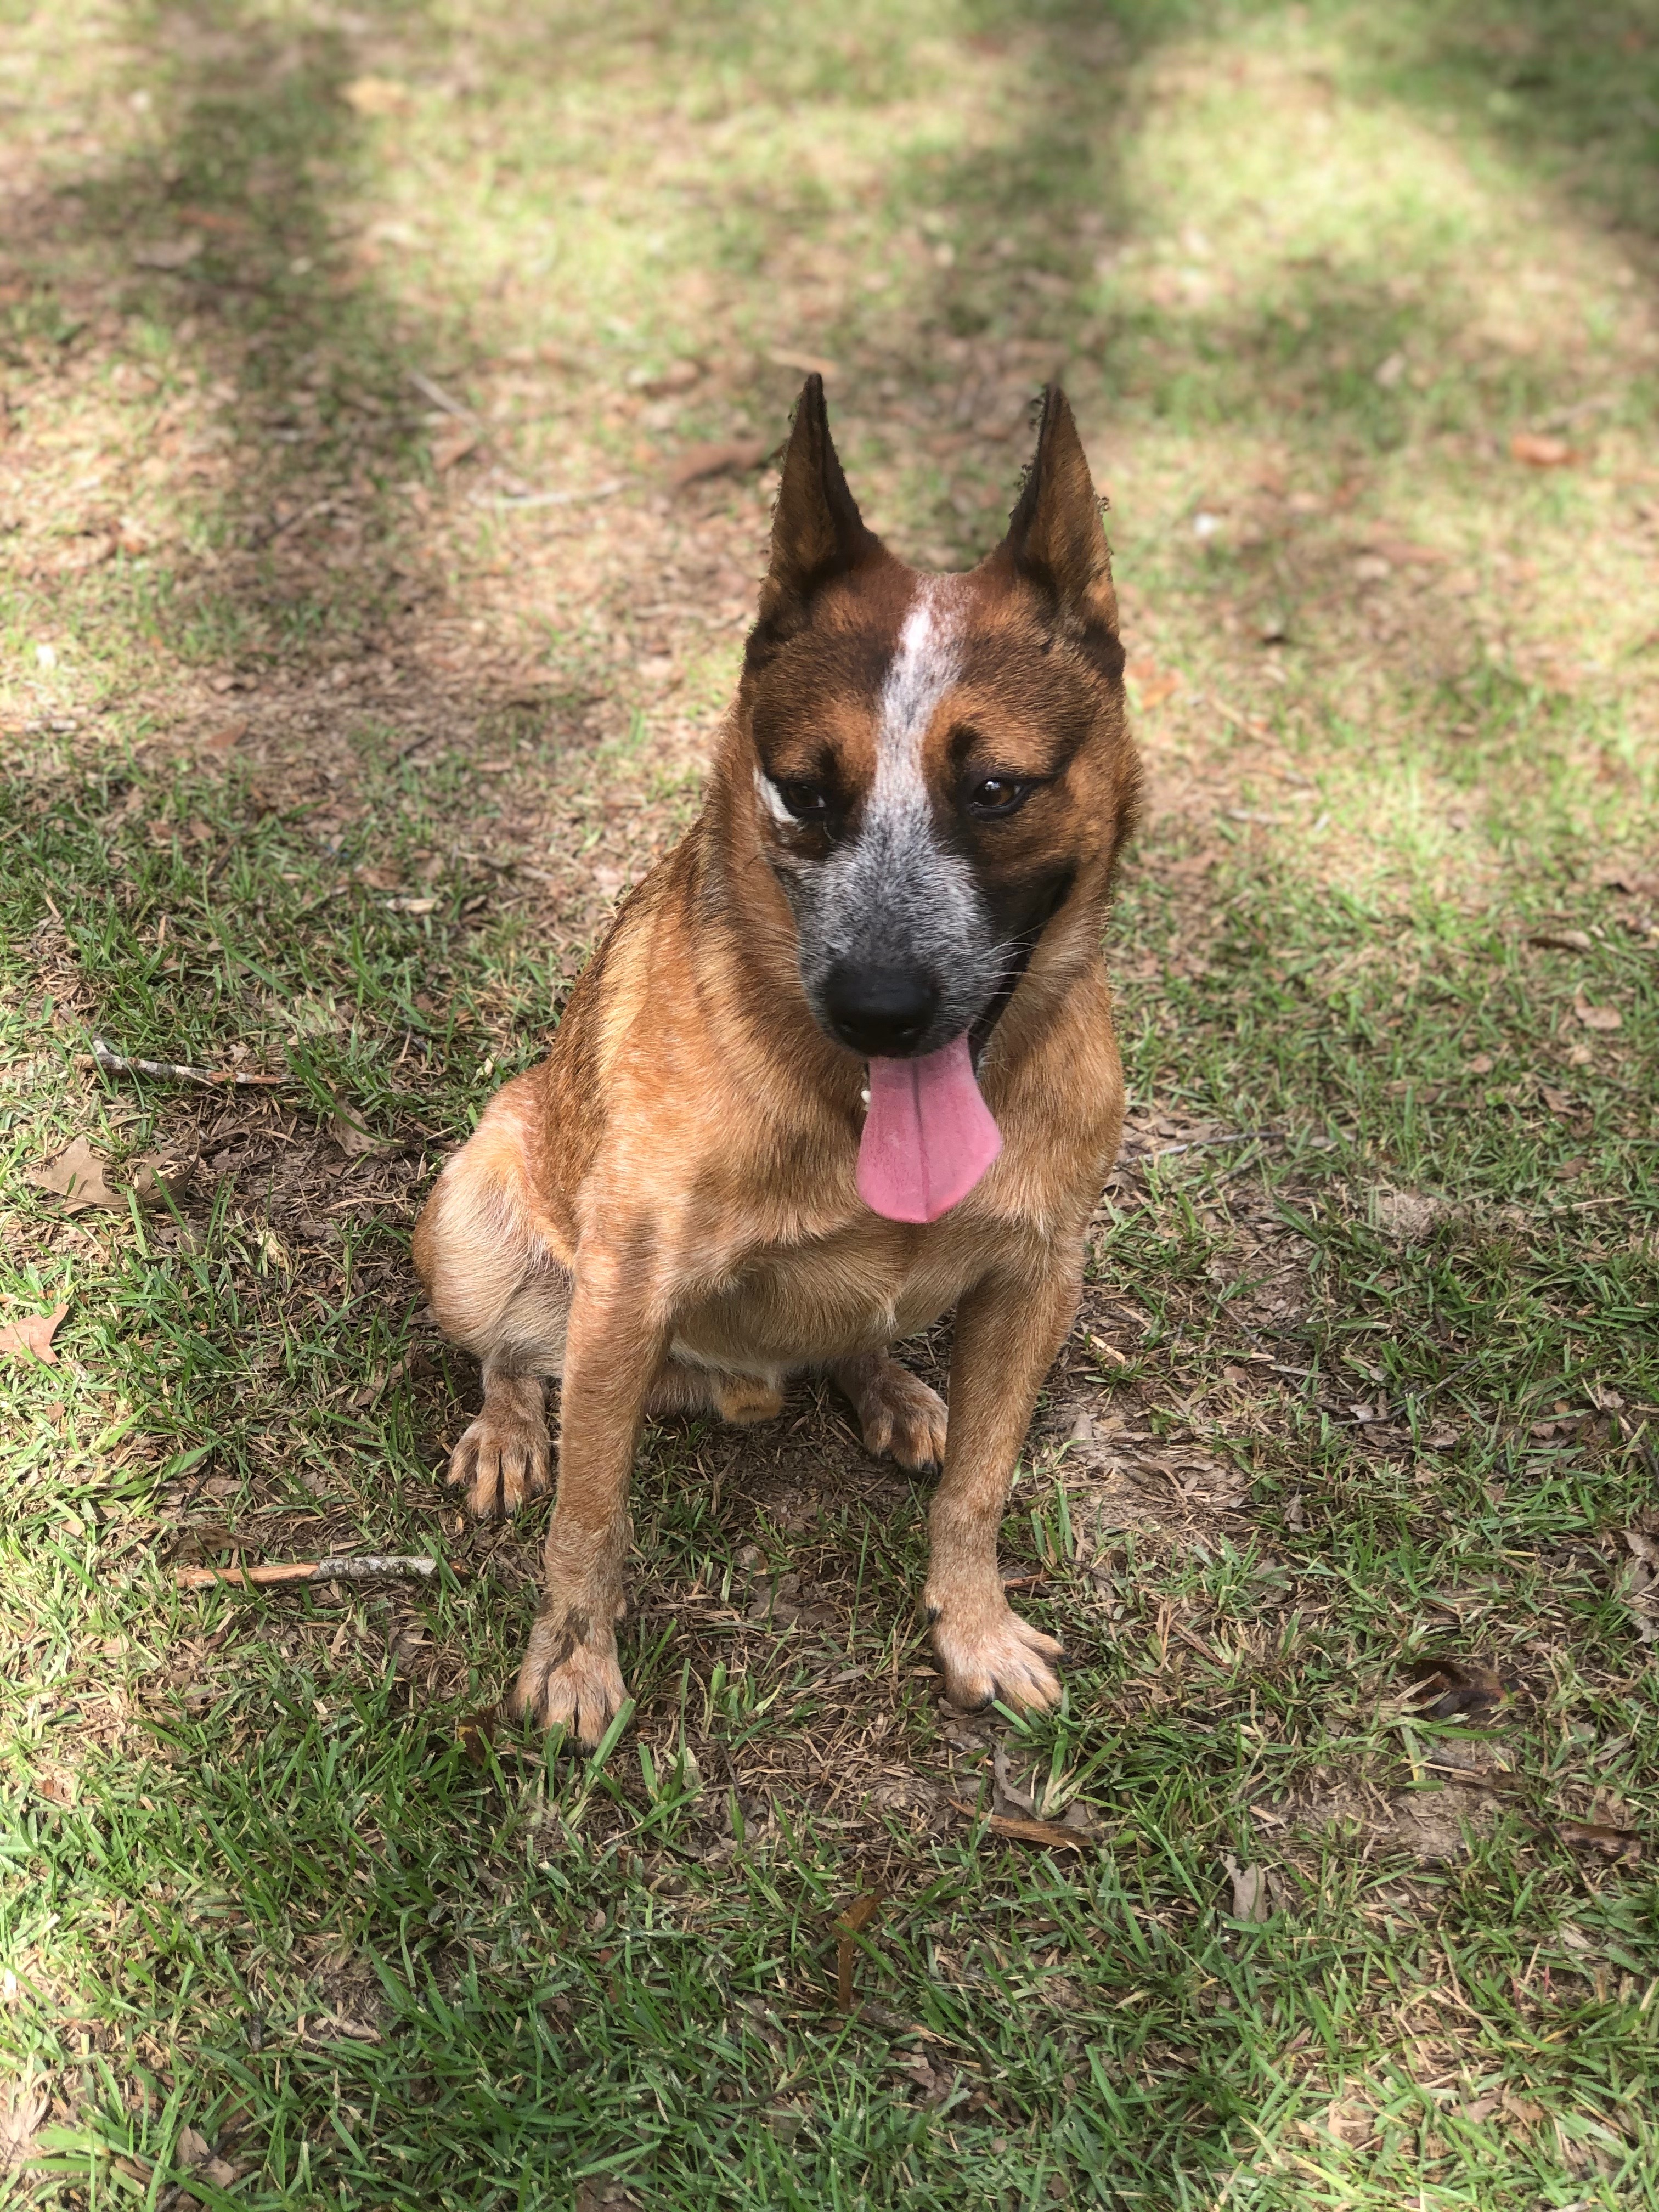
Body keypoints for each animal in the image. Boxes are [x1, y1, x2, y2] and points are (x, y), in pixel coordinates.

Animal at [416, 380, 1141, 1734]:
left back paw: (892, 1388)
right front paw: (573, 1665)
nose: (878, 1007)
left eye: (997, 788)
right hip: (472, 1204)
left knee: (861, 1342)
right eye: (804, 792)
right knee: (512, 1354)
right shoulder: (625, 1291)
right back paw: (508, 1428)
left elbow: (982, 1487)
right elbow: (591, 1518)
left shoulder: (1038, 1278)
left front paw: (973, 1625)